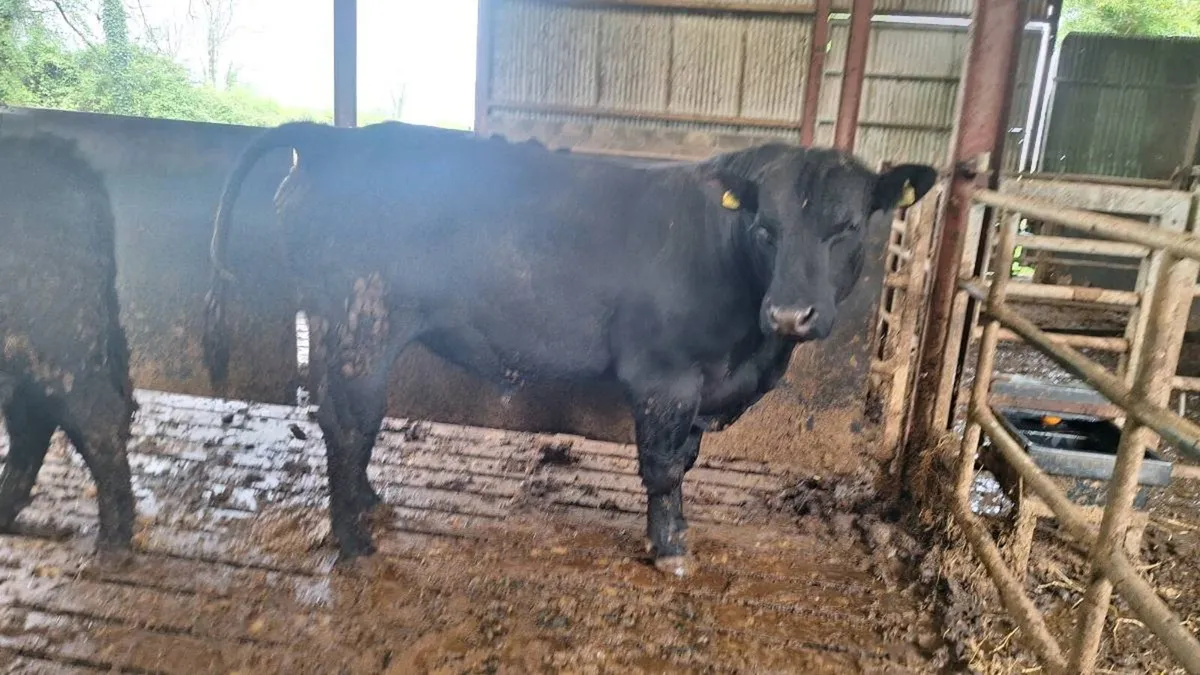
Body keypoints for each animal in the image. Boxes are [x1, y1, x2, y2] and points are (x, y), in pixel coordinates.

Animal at [203, 121, 936, 576]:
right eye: (765, 226)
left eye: (847, 227)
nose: (789, 313)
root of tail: (336, 138)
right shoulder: (663, 378)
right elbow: (662, 468)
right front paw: (670, 548)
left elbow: (685, 462)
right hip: (361, 323)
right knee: (347, 421)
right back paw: (354, 540)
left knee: (351, 423)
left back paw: (369, 504)